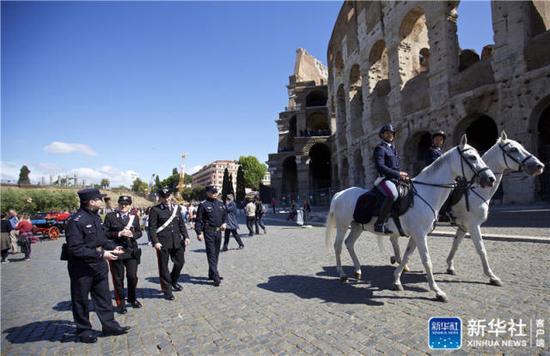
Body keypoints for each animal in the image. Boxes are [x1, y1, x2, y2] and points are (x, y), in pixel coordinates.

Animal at [326, 135, 498, 302]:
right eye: (472, 157)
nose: (491, 178)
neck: (427, 192)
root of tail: (340, 193)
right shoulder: (421, 234)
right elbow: (427, 261)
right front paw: (438, 291)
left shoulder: (417, 234)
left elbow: (407, 256)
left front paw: (396, 280)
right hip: (342, 225)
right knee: (338, 246)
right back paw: (342, 274)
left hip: (357, 226)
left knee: (349, 243)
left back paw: (357, 270)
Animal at [392, 131, 544, 286]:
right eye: (513, 149)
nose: (539, 166)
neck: (475, 190)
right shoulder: (473, 224)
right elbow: (481, 249)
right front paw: (491, 276)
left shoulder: (464, 226)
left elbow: (456, 244)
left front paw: (450, 266)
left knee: (394, 238)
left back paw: (400, 263)